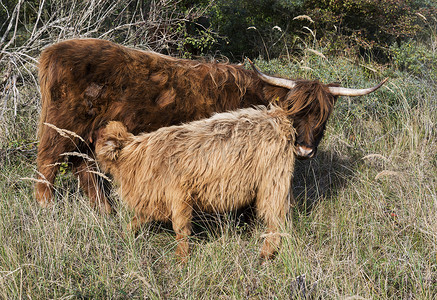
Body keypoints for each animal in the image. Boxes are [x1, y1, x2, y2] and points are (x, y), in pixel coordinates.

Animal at [36, 38, 384, 212]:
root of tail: (54, 49)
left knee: (84, 168)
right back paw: (45, 207)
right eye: (293, 114)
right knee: (48, 164)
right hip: (60, 127)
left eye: (322, 118)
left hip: (86, 134)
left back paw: (105, 212)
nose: (305, 149)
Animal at [95, 105, 296, 260]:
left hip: (273, 181)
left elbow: (181, 229)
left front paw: (181, 259)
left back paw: (266, 254)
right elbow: (137, 220)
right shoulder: (153, 199)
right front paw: (124, 235)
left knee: (275, 219)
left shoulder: (179, 195)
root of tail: (276, 116)